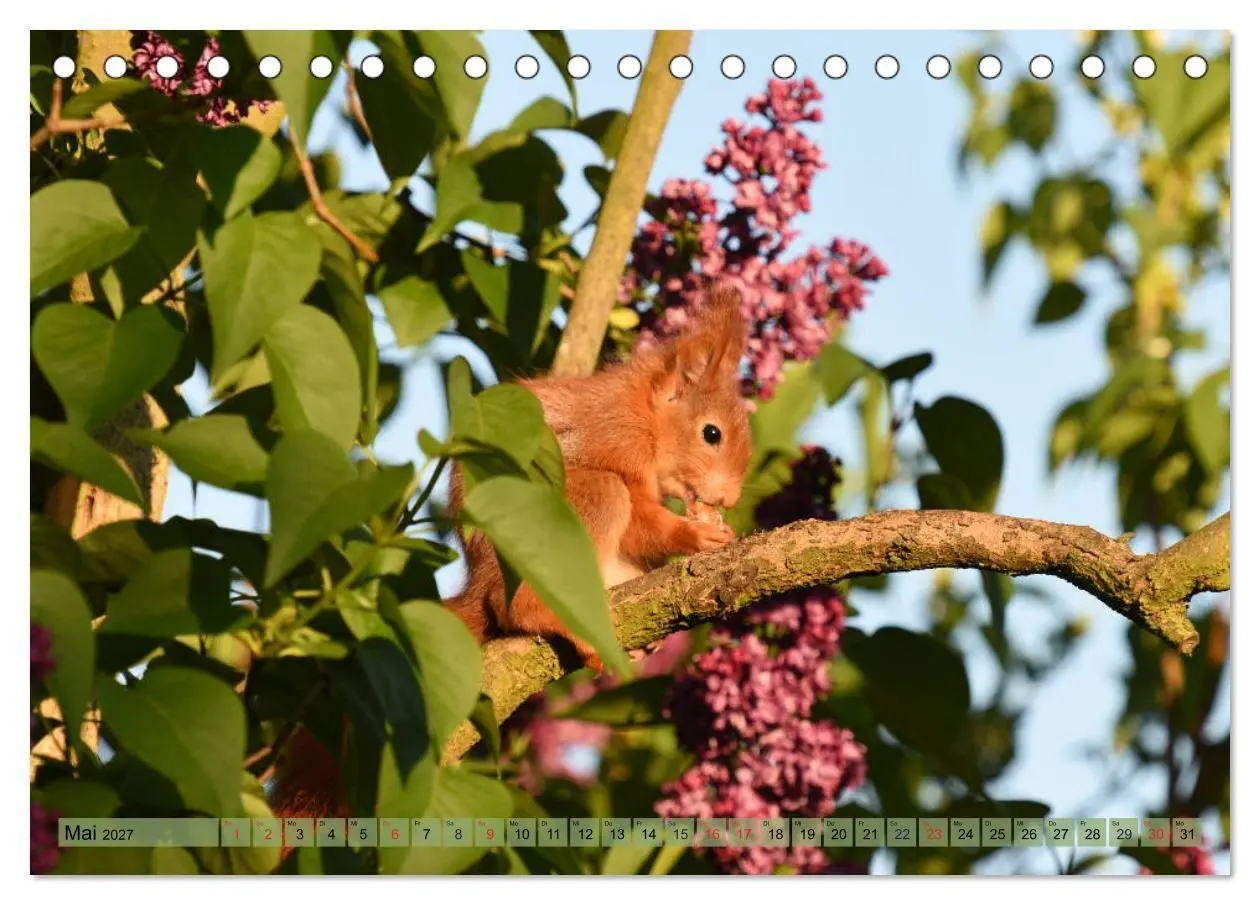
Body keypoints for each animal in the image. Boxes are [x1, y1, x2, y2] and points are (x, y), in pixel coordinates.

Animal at [267, 284, 752, 826]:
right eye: (712, 433)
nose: (731, 497)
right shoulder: (611, 443)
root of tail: (481, 580)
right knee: (513, 605)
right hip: (574, 509)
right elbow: (643, 519)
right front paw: (694, 533)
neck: (643, 415)